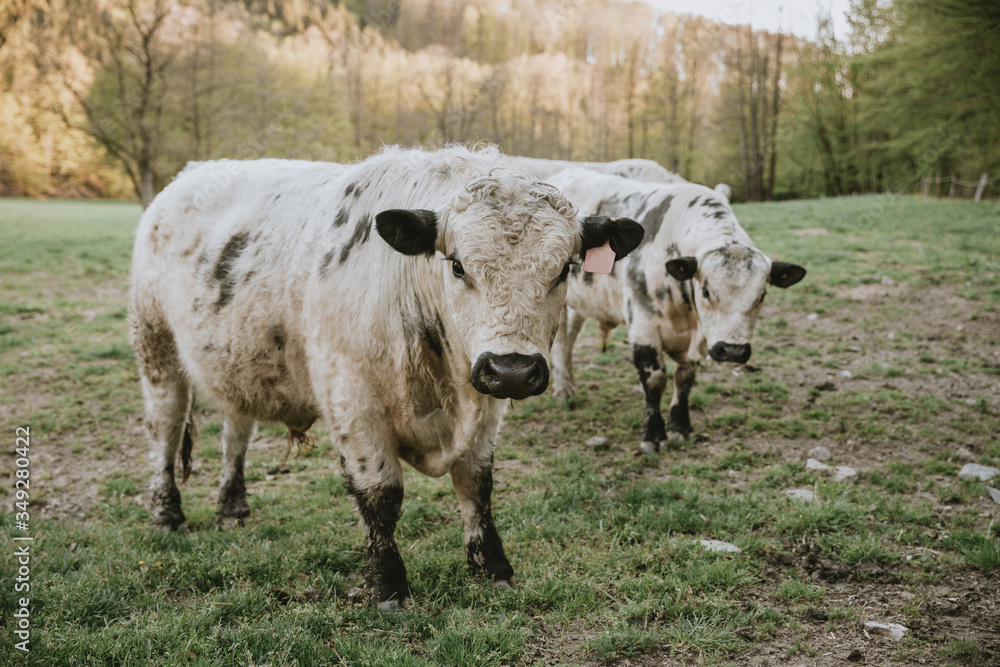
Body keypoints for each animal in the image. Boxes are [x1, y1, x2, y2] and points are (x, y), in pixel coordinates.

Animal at [129, 147, 644, 612]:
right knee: (164, 428)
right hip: (156, 348)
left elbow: (476, 486)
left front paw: (493, 568)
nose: (512, 369)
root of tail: (194, 173)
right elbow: (380, 496)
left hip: (240, 364)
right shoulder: (352, 401)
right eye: (458, 265)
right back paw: (167, 512)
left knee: (235, 431)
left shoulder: (487, 404)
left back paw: (232, 508)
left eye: (564, 269)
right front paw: (388, 586)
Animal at [548, 170, 804, 456]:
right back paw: (564, 391)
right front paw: (653, 434)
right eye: (706, 292)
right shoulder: (643, 324)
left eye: (761, 295)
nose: (733, 350)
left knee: (570, 341)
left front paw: (680, 427)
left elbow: (684, 378)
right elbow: (655, 378)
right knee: (561, 343)